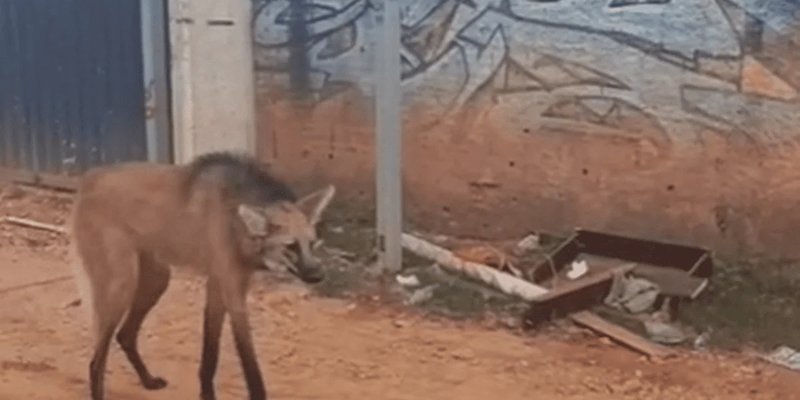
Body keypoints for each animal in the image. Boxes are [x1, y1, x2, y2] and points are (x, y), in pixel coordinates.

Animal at [68, 152, 336, 400]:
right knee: (96, 360)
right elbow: (246, 358)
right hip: (122, 284)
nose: (319, 274)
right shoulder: (231, 289)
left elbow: (210, 353)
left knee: (125, 335)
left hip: (157, 279)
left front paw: (206, 393)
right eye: (291, 247)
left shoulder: (219, 285)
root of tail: (88, 178)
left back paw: (148, 380)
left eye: (313, 243)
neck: (235, 221)